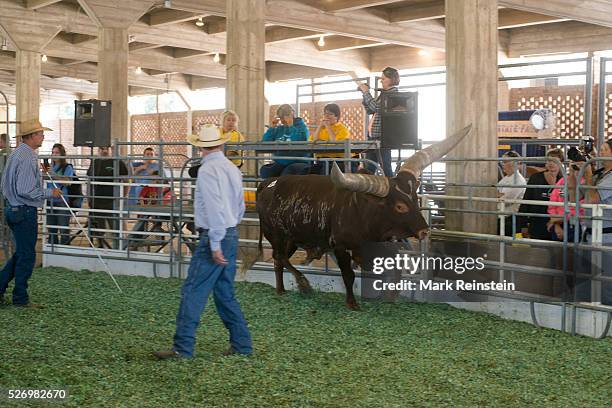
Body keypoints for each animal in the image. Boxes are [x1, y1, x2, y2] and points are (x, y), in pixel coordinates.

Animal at [251, 125, 470, 310]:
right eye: (399, 206)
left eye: (415, 198)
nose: (424, 231)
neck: (363, 212)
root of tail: (268, 183)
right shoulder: (340, 247)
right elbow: (348, 275)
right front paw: (352, 303)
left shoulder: (379, 243)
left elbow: (395, 263)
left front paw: (390, 294)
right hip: (275, 234)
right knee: (279, 257)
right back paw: (303, 283)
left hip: (291, 239)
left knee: (279, 261)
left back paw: (281, 290)